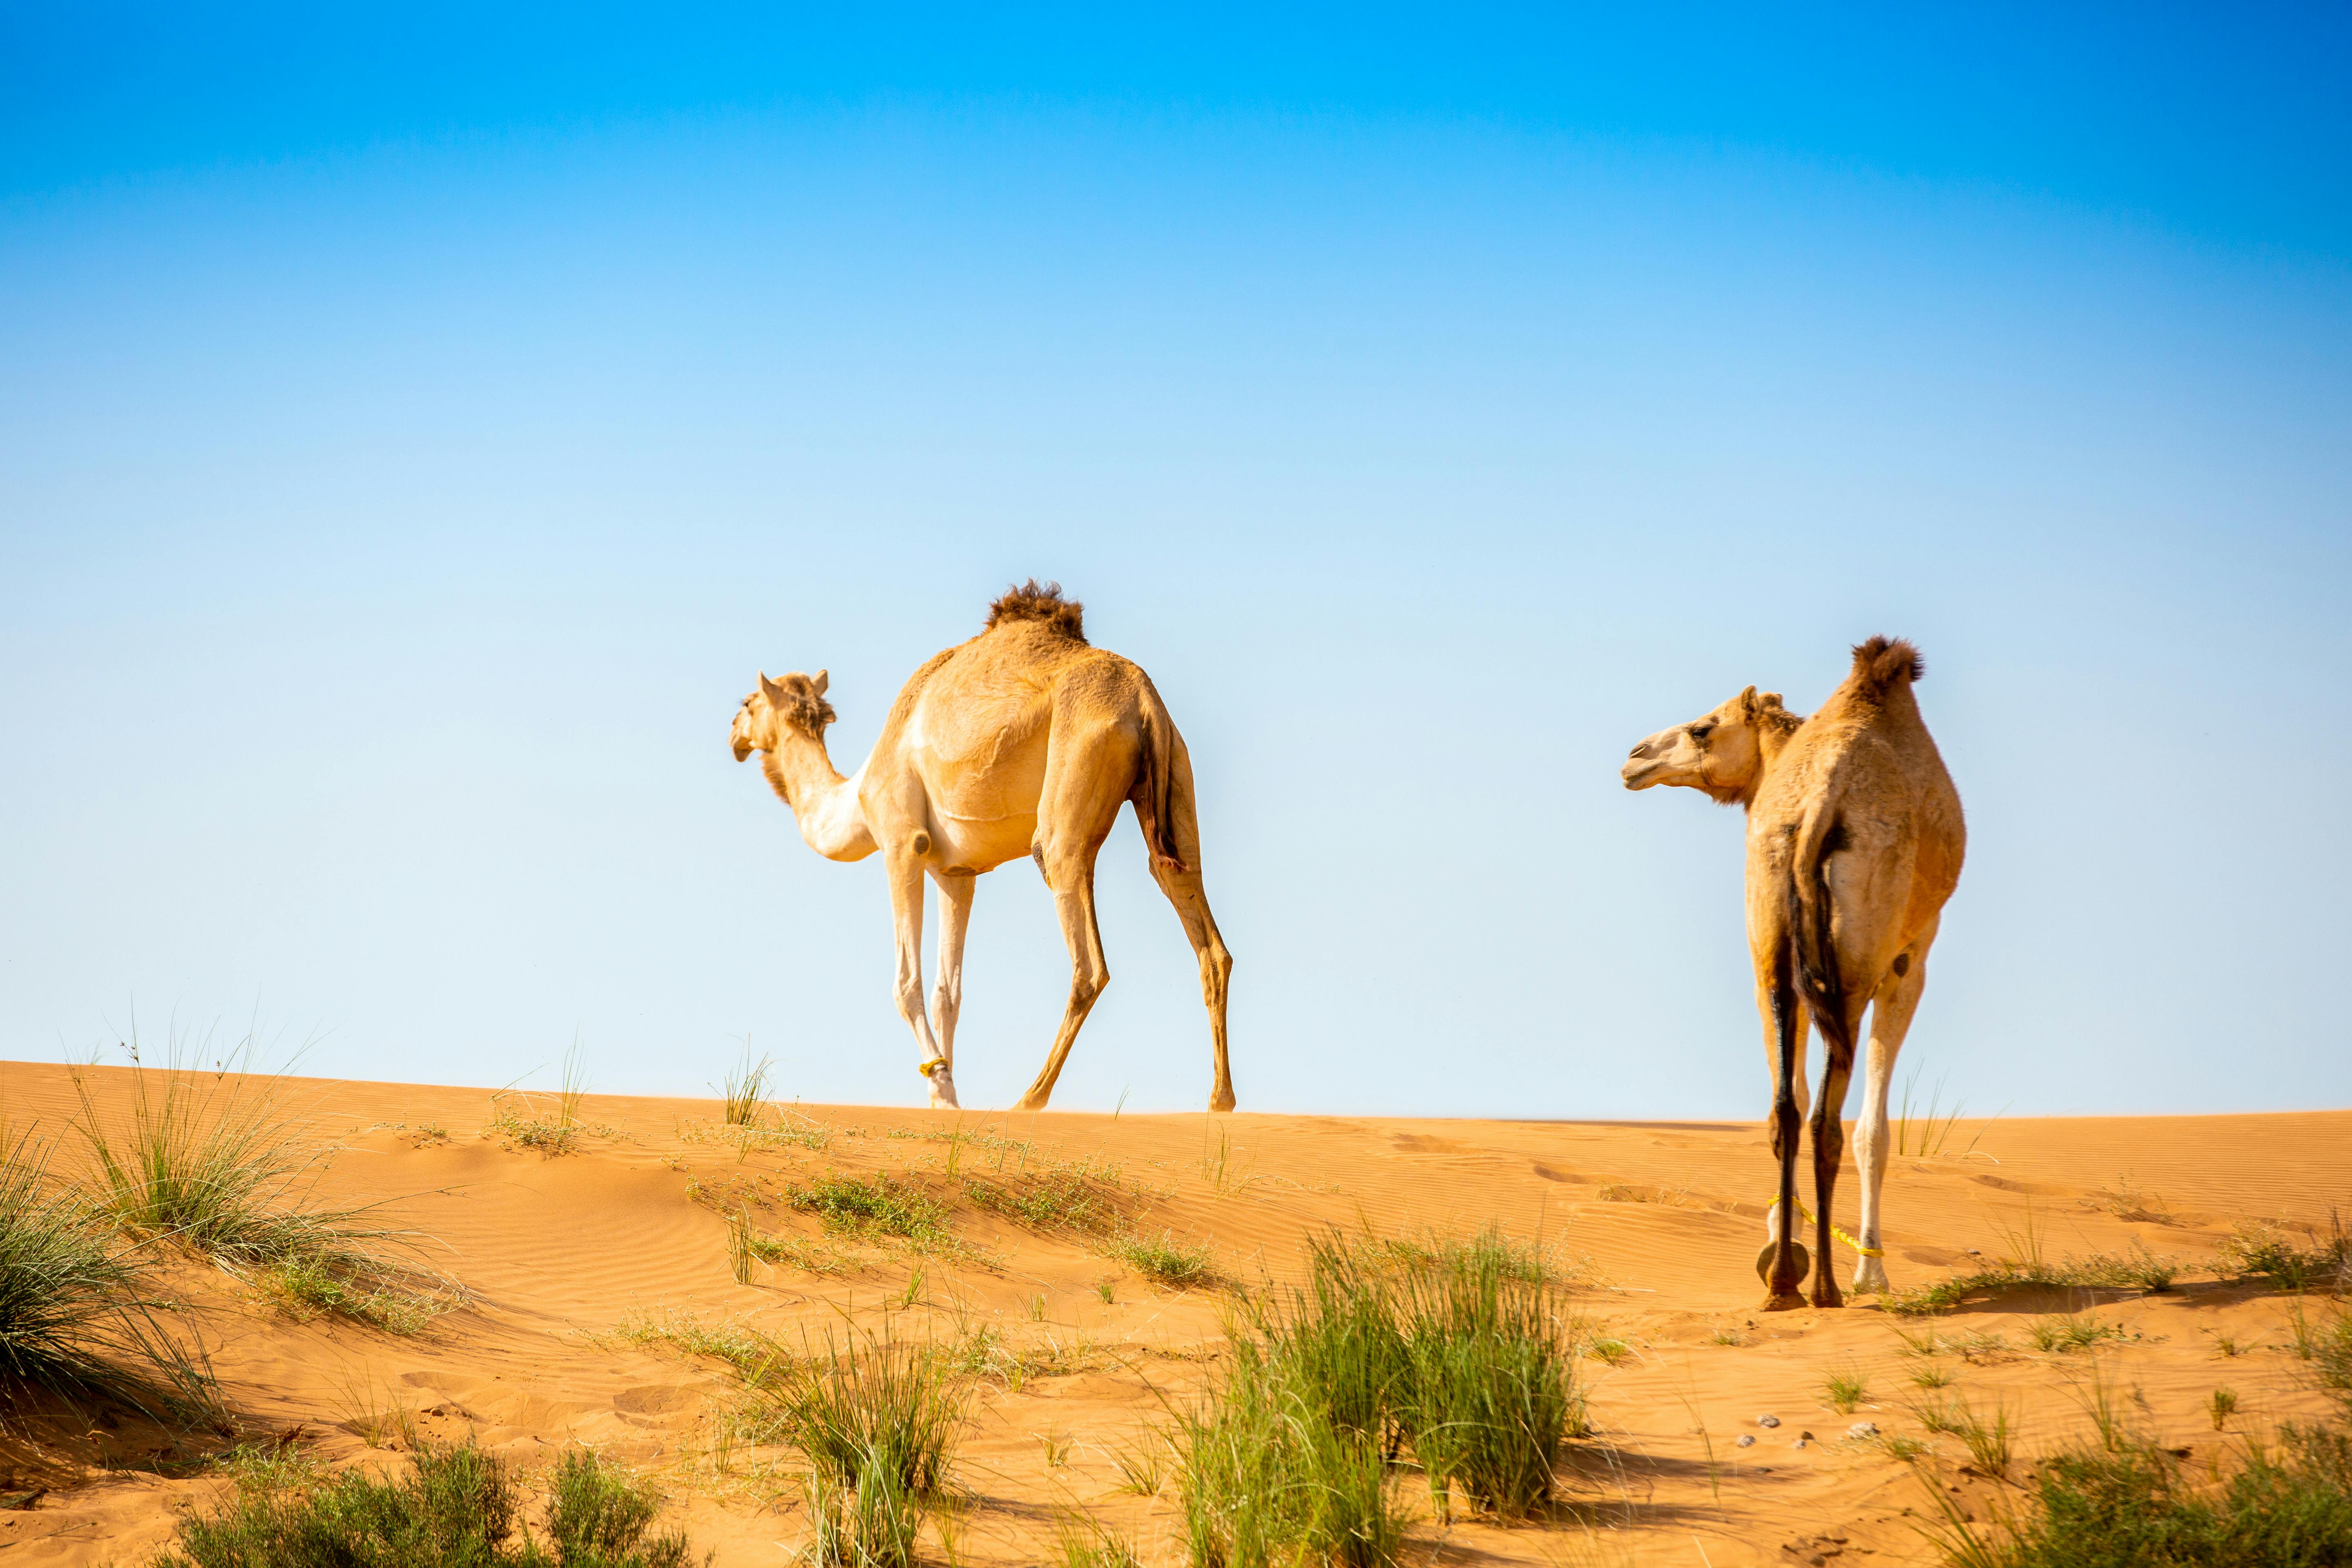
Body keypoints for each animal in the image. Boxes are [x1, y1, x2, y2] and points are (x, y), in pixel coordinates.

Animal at [729, 582, 1234, 1114]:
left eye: (748, 703)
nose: (734, 738)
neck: (857, 796)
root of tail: (1144, 700)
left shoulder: (901, 842)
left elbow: (906, 984)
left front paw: (941, 1087)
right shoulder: (957, 874)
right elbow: (947, 993)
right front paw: (945, 1096)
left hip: (1072, 792)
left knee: (1086, 956)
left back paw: (1031, 1097)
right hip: (1175, 773)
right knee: (1198, 918)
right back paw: (1220, 1100)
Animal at [1622, 637, 1964, 1309]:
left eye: (1704, 728)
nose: (1634, 758)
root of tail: (1818, 807)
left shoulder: (1790, 971)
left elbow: (1794, 1093)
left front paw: (1784, 1244)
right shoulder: (1908, 962)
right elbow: (1873, 1131)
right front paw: (1873, 1276)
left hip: (1770, 940)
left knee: (1785, 1109)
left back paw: (1784, 1280)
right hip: (1855, 963)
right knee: (1829, 1121)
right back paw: (1829, 1286)